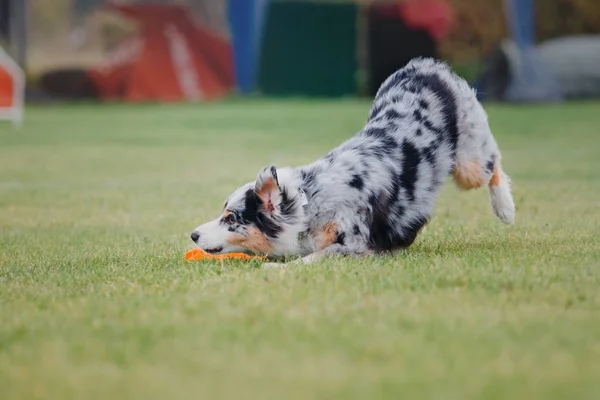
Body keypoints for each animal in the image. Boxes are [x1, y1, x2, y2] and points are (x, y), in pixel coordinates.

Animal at [190, 57, 512, 266]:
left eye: (231, 218)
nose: (193, 235)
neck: (311, 203)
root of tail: (425, 65)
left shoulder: (359, 244)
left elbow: (316, 257)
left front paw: (278, 268)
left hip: (469, 162)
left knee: (494, 161)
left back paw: (505, 209)